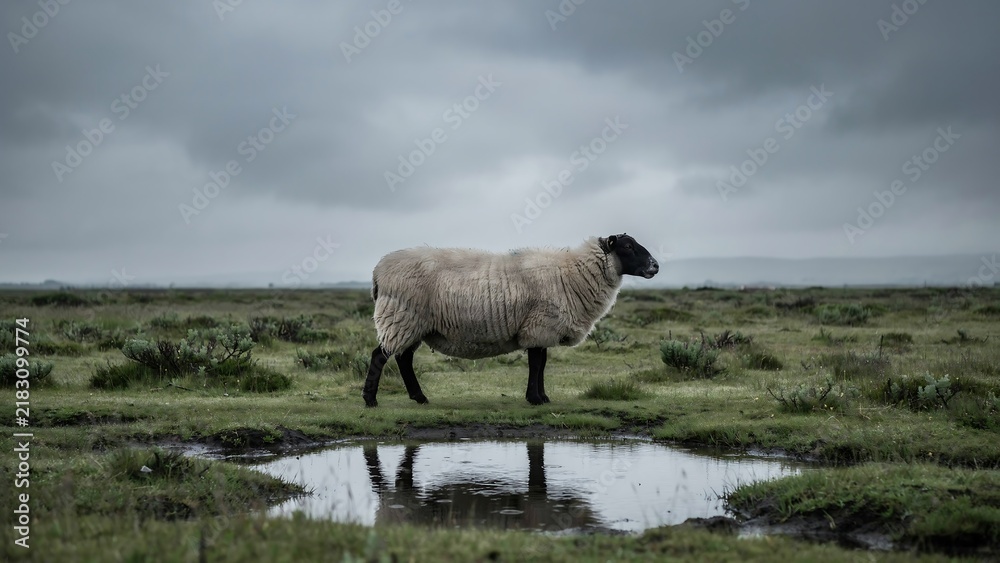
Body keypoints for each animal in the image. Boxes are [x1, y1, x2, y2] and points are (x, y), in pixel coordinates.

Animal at [361, 233, 659, 407]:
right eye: (628, 246)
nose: (655, 266)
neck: (573, 273)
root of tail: (378, 270)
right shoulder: (540, 325)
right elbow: (537, 364)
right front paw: (536, 399)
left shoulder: (541, 329)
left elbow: (541, 363)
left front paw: (542, 397)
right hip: (401, 317)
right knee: (380, 356)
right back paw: (370, 399)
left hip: (413, 324)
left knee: (403, 358)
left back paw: (419, 398)